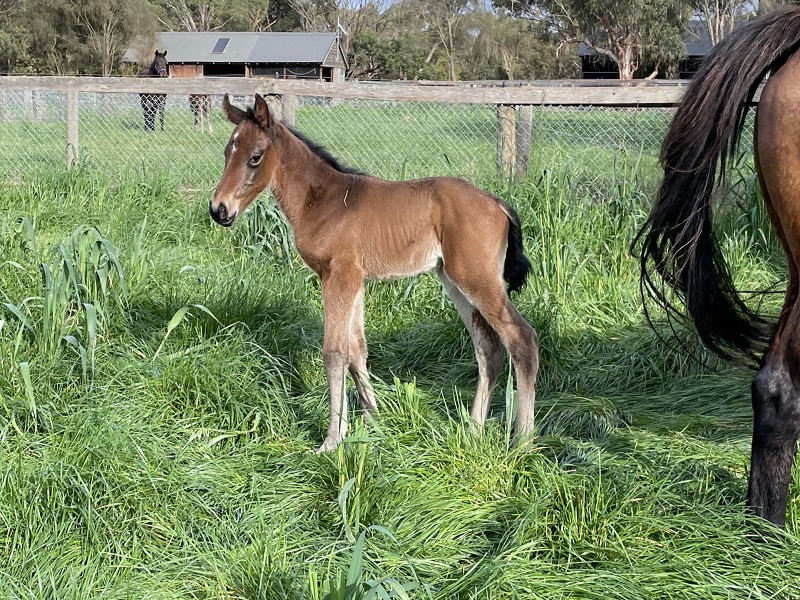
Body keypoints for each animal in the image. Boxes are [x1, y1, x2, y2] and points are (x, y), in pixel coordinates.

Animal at [209, 94, 540, 452]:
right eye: (227, 152)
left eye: (255, 157)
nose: (219, 210)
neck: (323, 202)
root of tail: (497, 203)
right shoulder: (354, 281)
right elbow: (357, 351)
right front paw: (373, 422)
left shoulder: (339, 277)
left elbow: (335, 353)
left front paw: (333, 439)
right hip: (454, 281)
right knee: (489, 347)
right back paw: (473, 430)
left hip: (477, 278)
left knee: (522, 339)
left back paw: (523, 439)